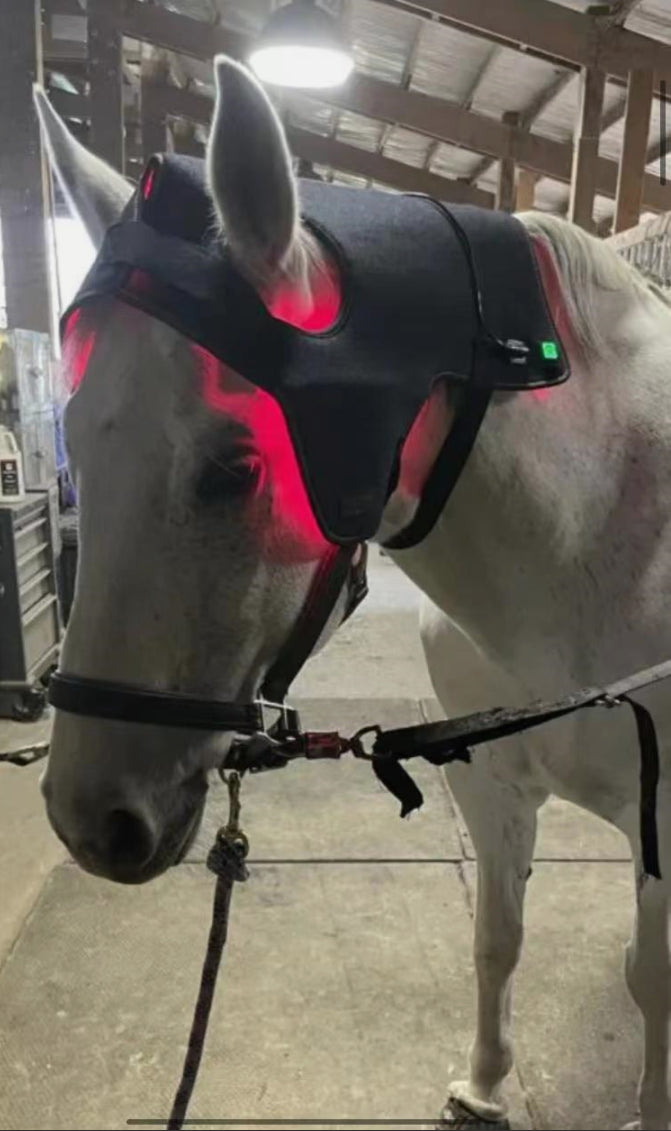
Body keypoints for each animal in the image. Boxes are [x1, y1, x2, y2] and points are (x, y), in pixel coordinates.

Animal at [34, 55, 671, 1131]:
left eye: (235, 467)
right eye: (70, 440)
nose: (92, 820)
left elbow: (649, 978)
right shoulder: (490, 782)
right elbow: (495, 938)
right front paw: (481, 1085)